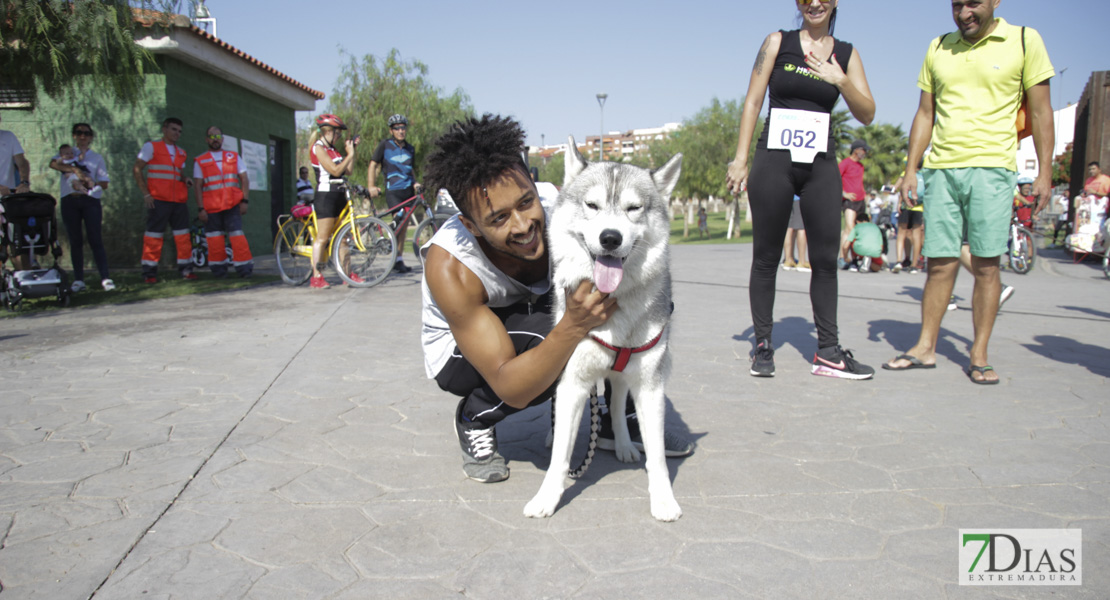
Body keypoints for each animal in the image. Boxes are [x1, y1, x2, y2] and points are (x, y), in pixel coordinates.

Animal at [521, 136, 683, 519]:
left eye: (634, 208)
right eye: (592, 206)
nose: (610, 238)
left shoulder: (650, 385)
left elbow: (657, 456)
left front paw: (663, 499)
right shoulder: (573, 381)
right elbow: (560, 459)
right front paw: (546, 498)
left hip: (625, 373)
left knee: (620, 398)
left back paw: (623, 444)